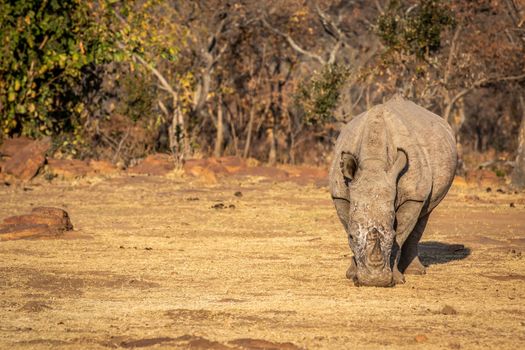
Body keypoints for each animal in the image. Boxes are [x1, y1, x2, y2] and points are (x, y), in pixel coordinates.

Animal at [330, 94, 456, 286]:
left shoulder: (413, 196)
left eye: (392, 234)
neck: (373, 163)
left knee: (425, 213)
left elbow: (402, 233)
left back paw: (416, 272)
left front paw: (396, 278)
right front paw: (352, 274)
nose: (374, 281)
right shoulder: (340, 195)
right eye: (351, 237)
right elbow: (347, 224)